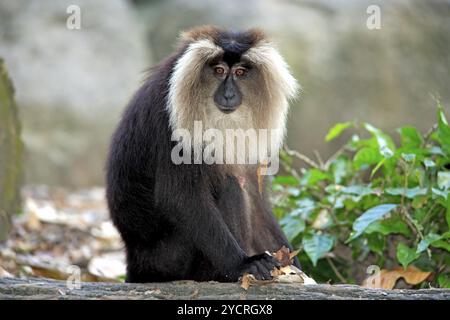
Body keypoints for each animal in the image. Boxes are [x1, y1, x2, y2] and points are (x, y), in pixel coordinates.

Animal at [106, 25, 298, 282]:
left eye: (239, 72)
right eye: (219, 71)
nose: (228, 95)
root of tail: (135, 263)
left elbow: (253, 195)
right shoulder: (169, 115)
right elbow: (180, 196)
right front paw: (243, 264)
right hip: (171, 258)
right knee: (230, 185)